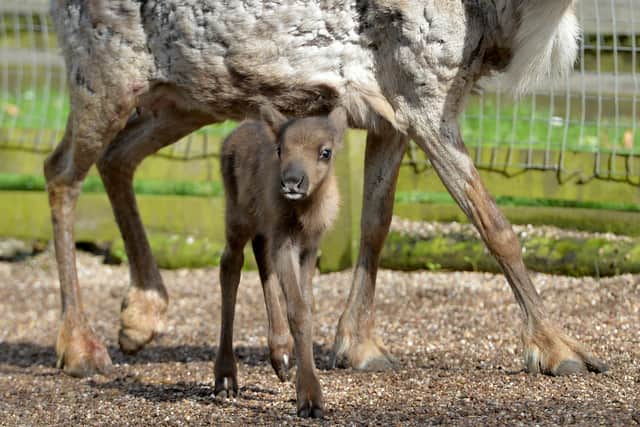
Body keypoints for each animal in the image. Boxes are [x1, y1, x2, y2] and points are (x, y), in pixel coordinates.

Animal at [215, 105, 345, 417]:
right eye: (280, 149)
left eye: (325, 151)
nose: (292, 182)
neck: (304, 212)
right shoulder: (285, 240)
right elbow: (298, 309)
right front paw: (310, 398)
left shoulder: (310, 244)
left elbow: (307, 304)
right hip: (238, 216)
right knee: (230, 264)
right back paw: (225, 378)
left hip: (262, 227)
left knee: (260, 257)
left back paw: (281, 355)